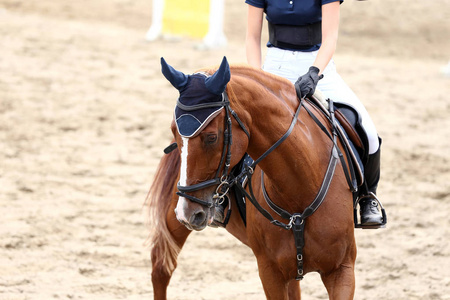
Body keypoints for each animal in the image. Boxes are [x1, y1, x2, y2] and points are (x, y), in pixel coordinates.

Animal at [149, 56, 356, 300]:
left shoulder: (341, 269)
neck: (301, 187)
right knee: (162, 267)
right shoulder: (270, 272)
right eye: (174, 132)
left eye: (211, 137)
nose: (188, 213)